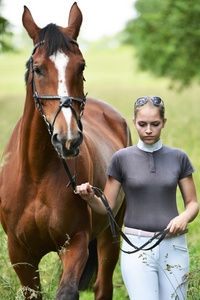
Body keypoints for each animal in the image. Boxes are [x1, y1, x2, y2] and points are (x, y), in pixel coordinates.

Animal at [0, 2, 131, 300]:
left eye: (81, 66)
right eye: (37, 69)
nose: (68, 139)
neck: (36, 173)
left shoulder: (75, 243)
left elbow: (68, 291)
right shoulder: (20, 255)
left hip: (111, 231)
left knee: (103, 286)